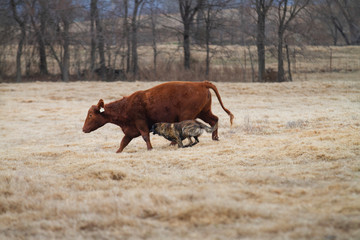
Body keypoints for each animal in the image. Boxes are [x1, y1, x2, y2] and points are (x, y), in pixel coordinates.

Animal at [82, 80, 233, 152]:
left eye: (90, 115)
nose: (83, 129)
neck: (126, 105)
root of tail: (201, 84)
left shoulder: (140, 122)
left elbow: (145, 136)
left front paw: (150, 149)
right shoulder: (130, 131)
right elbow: (123, 143)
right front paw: (117, 152)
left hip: (188, 115)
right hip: (205, 111)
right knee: (214, 120)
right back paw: (215, 138)